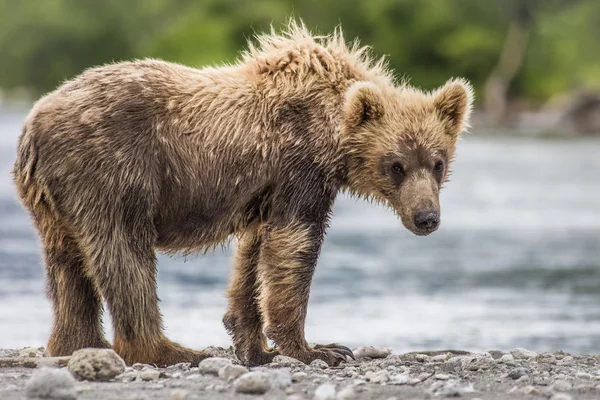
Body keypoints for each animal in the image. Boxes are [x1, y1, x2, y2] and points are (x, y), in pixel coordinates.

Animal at [11, 21, 474, 366]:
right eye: (395, 165)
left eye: (437, 162)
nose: (426, 218)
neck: (332, 134)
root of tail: (33, 123)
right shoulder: (299, 167)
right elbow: (295, 244)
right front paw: (316, 349)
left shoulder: (263, 191)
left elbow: (254, 254)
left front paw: (255, 345)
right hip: (113, 168)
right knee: (124, 253)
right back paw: (169, 350)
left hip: (52, 201)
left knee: (68, 268)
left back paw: (76, 344)